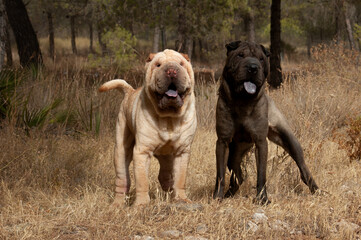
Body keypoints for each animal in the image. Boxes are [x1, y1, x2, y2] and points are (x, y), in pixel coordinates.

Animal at [98, 49, 195, 206]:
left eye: (181, 64)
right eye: (158, 65)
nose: (172, 71)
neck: (169, 118)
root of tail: (129, 91)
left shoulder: (182, 152)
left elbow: (180, 179)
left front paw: (181, 199)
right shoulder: (142, 151)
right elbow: (142, 180)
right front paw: (142, 204)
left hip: (167, 156)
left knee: (166, 175)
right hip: (120, 150)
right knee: (122, 179)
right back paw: (117, 203)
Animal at [212, 40, 320, 203]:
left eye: (261, 59)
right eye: (240, 55)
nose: (253, 67)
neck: (242, 101)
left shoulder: (261, 142)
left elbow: (261, 174)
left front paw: (262, 199)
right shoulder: (223, 142)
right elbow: (220, 174)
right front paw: (217, 197)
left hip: (290, 141)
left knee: (303, 169)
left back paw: (316, 190)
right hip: (234, 153)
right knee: (238, 176)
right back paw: (228, 195)